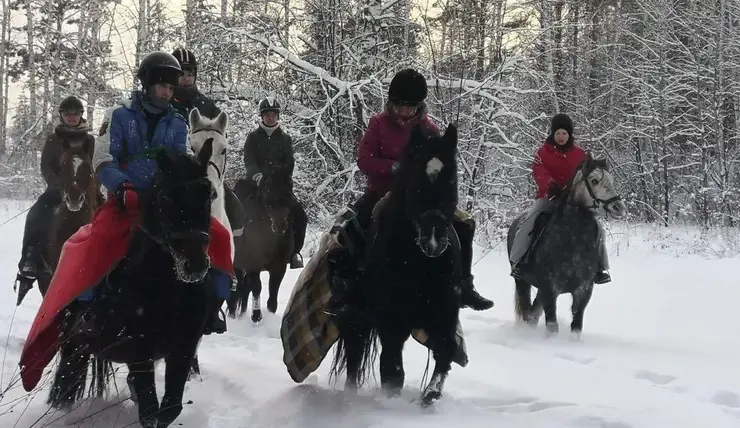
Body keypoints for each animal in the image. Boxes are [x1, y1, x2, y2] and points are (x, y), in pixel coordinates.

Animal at [47, 145, 217, 428]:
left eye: (208, 195)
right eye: (166, 198)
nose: (194, 264)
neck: (169, 291)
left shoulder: (182, 350)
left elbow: (169, 409)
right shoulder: (140, 353)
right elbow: (150, 411)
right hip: (74, 343)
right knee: (66, 380)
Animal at [228, 162, 294, 322]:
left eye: (290, 187)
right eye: (267, 188)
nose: (280, 226)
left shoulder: (279, 267)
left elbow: (273, 293)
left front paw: (269, 313)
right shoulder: (254, 266)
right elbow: (257, 287)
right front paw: (256, 316)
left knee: (244, 288)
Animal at [330, 124, 462, 408]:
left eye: (452, 180)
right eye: (415, 180)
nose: (433, 240)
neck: (420, 264)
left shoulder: (445, 310)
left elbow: (445, 349)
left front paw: (431, 393)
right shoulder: (392, 318)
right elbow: (392, 367)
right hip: (356, 314)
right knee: (355, 351)